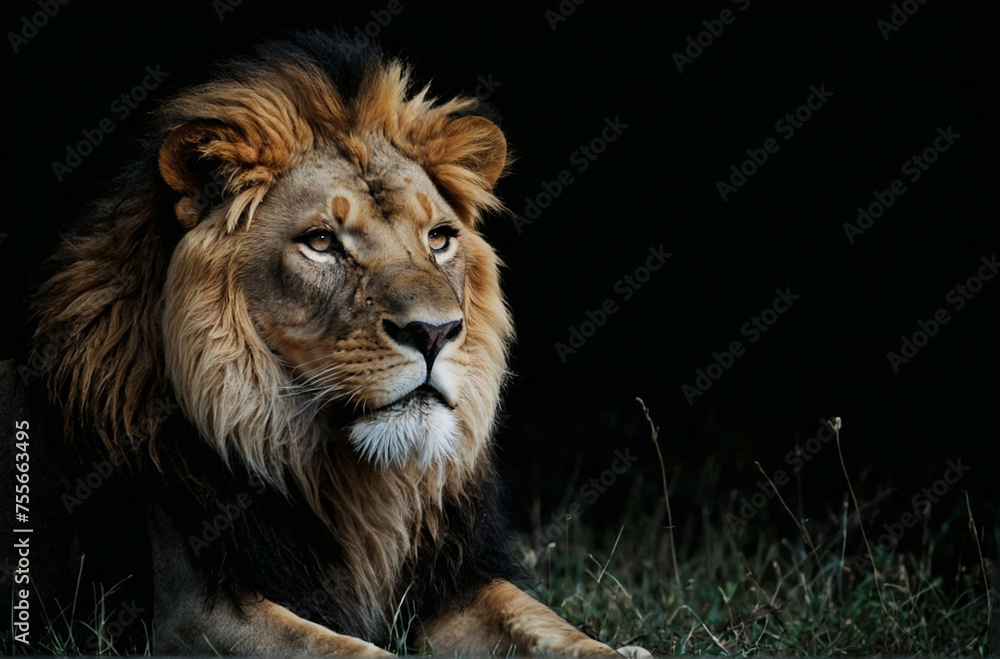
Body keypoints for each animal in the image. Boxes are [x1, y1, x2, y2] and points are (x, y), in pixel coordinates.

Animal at [0, 31, 646, 656]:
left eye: (439, 238)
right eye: (321, 242)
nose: (435, 332)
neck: (357, 485)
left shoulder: (451, 586)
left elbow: (547, 624)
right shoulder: (192, 615)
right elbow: (349, 651)